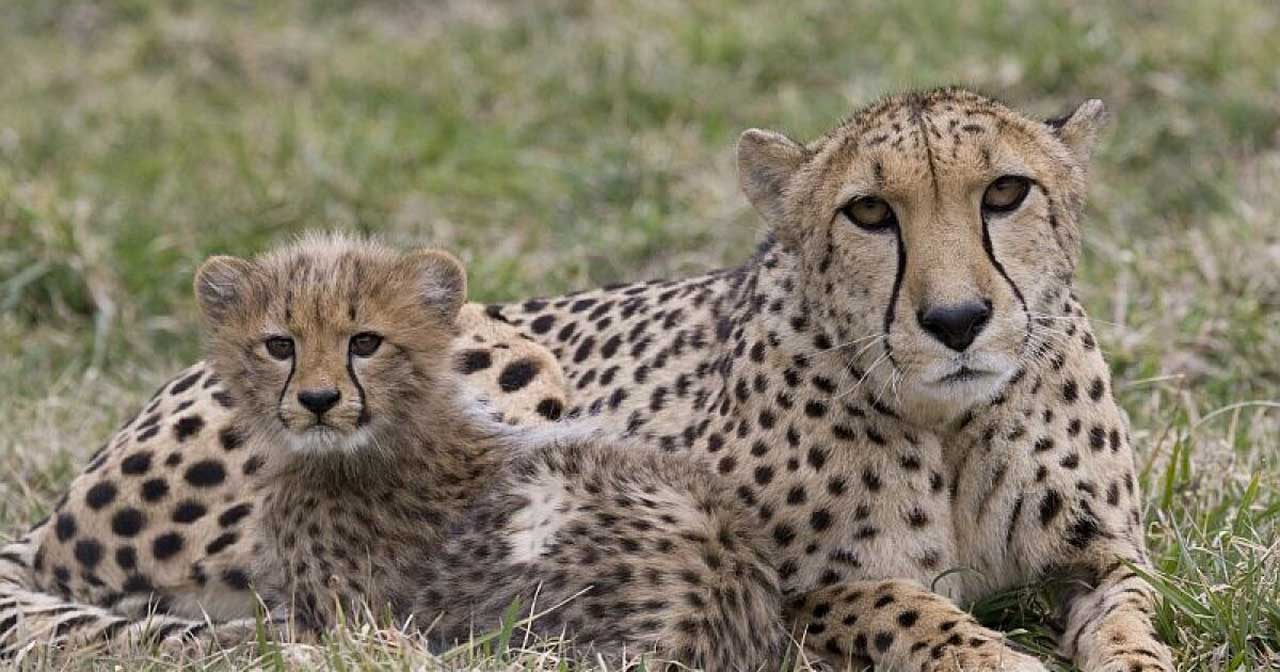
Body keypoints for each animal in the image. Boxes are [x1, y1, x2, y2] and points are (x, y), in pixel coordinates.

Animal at [0, 86, 1172, 665]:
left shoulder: (1105, 554)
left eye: (1006, 193)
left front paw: (1125, 657)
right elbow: (916, 615)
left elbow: (1131, 617)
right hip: (509, 358)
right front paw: (998, 658)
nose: (956, 320)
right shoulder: (784, 580)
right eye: (869, 213)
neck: (953, 421)